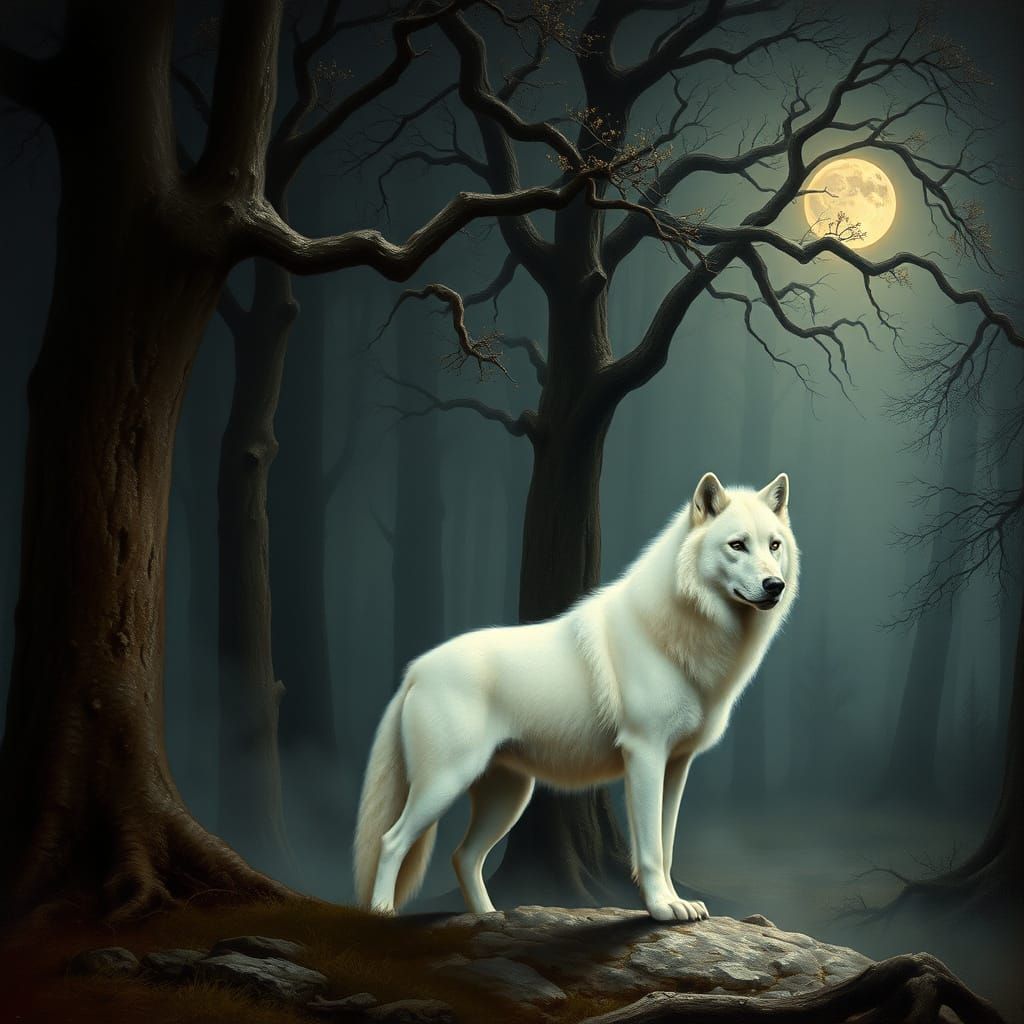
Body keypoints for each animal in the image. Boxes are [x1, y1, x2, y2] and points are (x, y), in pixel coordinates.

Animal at [354, 472, 799, 922]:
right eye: (737, 545)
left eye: (774, 545)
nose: (774, 586)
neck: (675, 635)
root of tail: (415, 671)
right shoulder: (645, 755)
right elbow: (651, 850)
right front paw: (661, 908)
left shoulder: (676, 765)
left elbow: (667, 846)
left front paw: (676, 902)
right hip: (445, 784)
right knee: (392, 842)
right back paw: (383, 914)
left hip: (508, 797)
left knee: (463, 856)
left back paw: (490, 916)